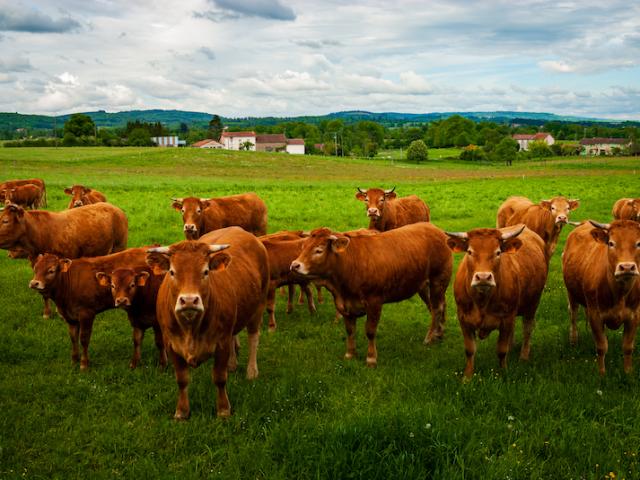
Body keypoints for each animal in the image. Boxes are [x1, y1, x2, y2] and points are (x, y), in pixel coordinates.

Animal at [148, 227, 270, 418]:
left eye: (205, 271)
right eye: (172, 272)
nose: (189, 301)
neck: (191, 328)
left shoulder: (221, 343)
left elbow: (219, 379)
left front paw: (223, 410)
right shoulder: (171, 345)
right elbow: (182, 380)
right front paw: (182, 411)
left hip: (259, 306)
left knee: (253, 338)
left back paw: (251, 371)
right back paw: (232, 365)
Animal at [290, 222, 450, 368]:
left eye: (318, 250)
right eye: (303, 246)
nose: (294, 265)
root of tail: (435, 229)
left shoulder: (374, 302)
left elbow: (370, 331)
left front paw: (371, 358)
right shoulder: (345, 305)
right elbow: (350, 331)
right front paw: (350, 354)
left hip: (438, 280)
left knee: (437, 308)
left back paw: (429, 338)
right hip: (423, 285)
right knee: (437, 306)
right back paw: (439, 333)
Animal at [448, 227, 548, 380]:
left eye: (498, 252)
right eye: (470, 251)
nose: (483, 277)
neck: (482, 302)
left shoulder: (507, 318)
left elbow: (501, 350)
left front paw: (502, 373)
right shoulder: (463, 318)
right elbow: (470, 350)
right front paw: (467, 376)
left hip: (533, 303)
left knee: (527, 328)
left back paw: (524, 356)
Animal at [560, 220, 640, 376]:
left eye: (639, 243)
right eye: (611, 243)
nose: (627, 267)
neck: (620, 294)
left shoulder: (634, 316)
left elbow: (628, 347)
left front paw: (628, 372)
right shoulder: (596, 315)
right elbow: (602, 347)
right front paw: (602, 374)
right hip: (571, 293)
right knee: (573, 314)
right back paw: (573, 340)